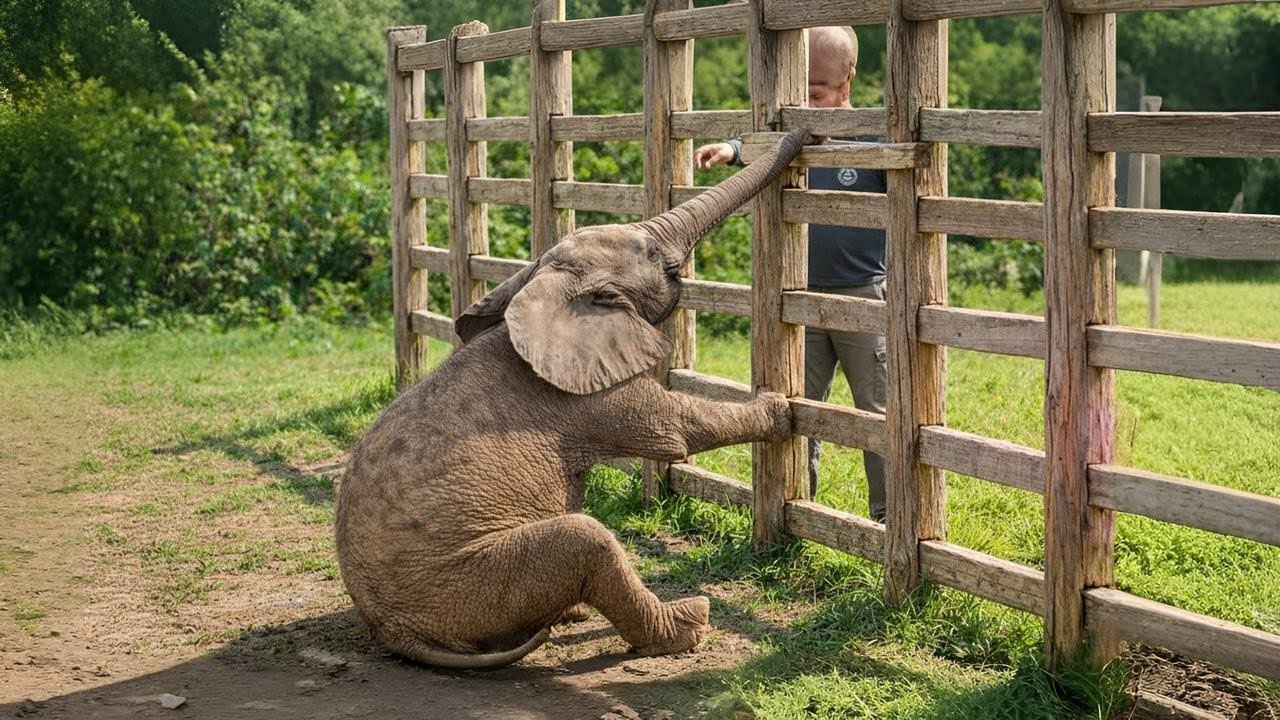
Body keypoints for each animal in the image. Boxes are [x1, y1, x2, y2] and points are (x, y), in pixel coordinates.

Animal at [335, 127, 813, 669]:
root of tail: (394, 633)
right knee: (587, 540)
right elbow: (674, 428)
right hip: (465, 582)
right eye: (651, 253)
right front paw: (782, 408)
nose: (801, 134)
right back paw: (688, 623)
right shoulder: (588, 394)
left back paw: (572, 615)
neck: (543, 290)